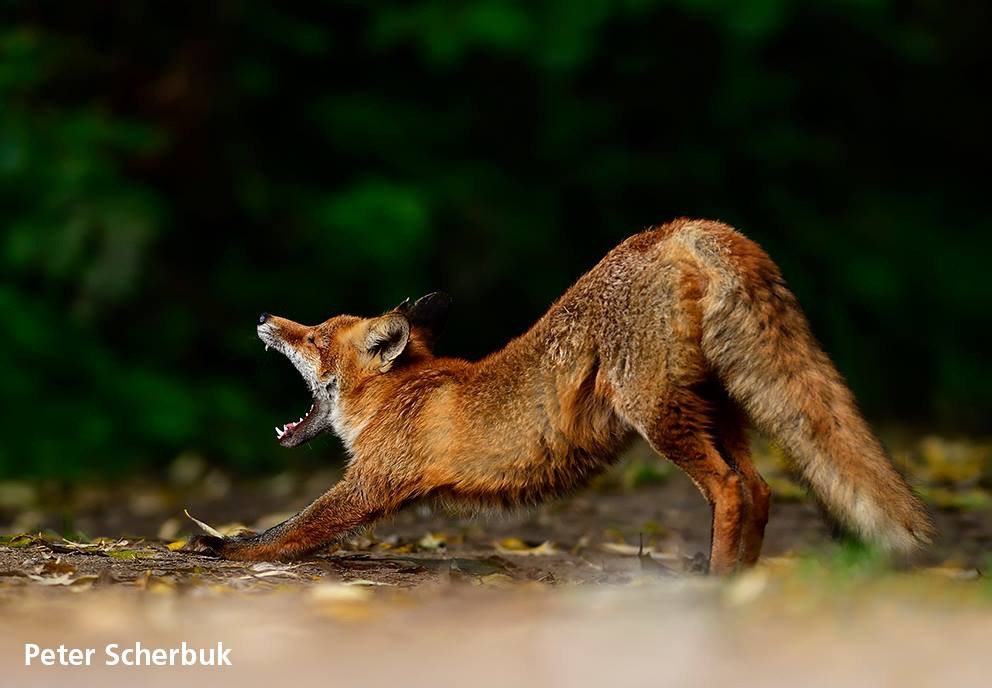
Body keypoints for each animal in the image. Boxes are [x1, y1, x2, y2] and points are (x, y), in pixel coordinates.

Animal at [184, 219, 928, 568]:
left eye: (313, 337)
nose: (264, 317)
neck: (406, 394)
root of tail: (684, 229)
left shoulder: (372, 484)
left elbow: (290, 529)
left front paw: (226, 548)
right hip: (715, 408)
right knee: (762, 488)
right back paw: (744, 579)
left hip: (656, 414)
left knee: (730, 490)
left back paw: (716, 586)